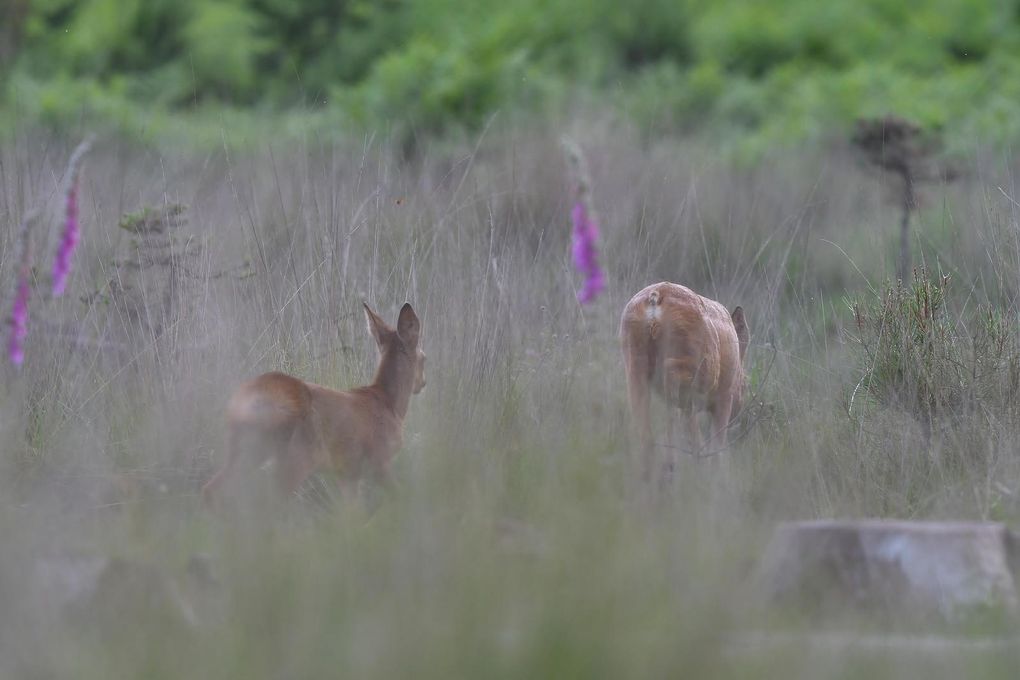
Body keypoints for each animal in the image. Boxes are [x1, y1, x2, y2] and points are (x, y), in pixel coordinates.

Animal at [200, 303, 424, 505]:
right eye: (424, 358)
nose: (422, 383)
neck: (390, 404)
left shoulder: (348, 473)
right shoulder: (379, 458)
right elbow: (400, 496)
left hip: (246, 448)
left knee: (213, 489)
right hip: (296, 454)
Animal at [616, 285, 746, 481]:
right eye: (745, 383)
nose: (739, 409)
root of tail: (656, 296)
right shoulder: (724, 396)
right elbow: (717, 444)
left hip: (634, 360)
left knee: (645, 425)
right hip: (695, 361)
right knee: (673, 388)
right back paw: (673, 462)